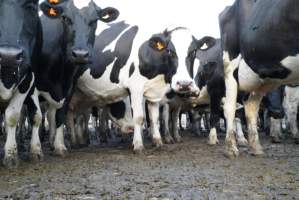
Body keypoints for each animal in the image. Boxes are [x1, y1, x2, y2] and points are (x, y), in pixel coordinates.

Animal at [36, 0, 118, 156]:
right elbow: (33, 116)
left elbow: (60, 115)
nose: (80, 54)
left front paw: (60, 146)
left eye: (94, 21)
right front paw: (34, 150)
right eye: (65, 18)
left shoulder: (69, 87)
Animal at [219, 0, 299, 158]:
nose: (277, 112)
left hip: (263, 77)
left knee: (251, 106)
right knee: (230, 107)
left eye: (282, 91)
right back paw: (231, 148)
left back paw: (256, 147)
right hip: (230, 64)